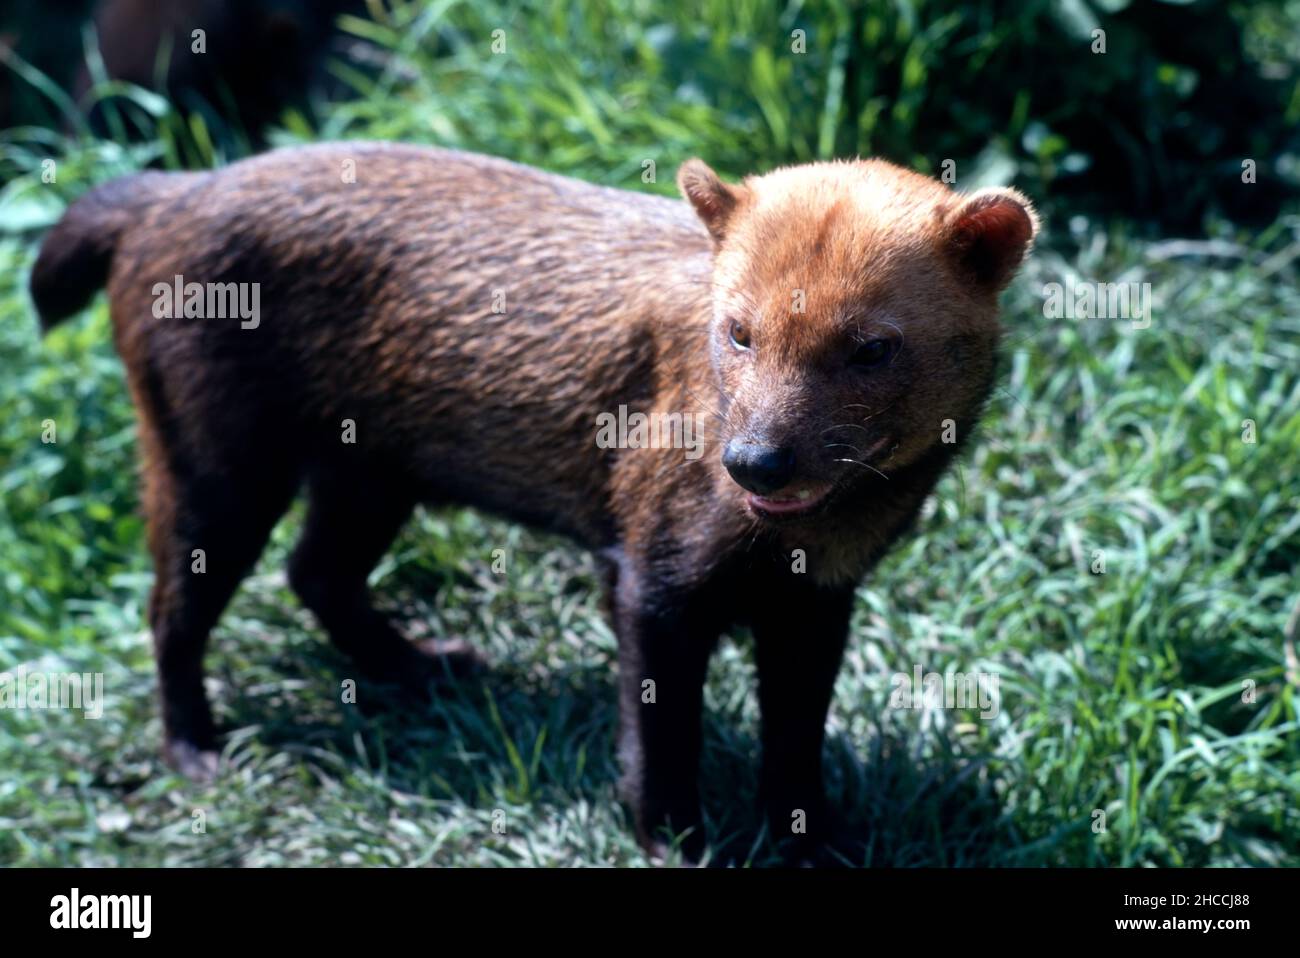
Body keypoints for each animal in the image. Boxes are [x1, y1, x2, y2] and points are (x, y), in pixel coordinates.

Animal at [30, 143, 1040, 868]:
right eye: (739, 329)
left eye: (872, 346)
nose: (755, 463)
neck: (805, 534)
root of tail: (168, 193)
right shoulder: (651, 578)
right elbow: (659, 735)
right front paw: (675, 842)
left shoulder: (817, 600)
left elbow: (796, 737)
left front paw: (813, 843)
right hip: (217, 470)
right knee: (173, 607)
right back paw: (198, 752)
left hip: (368, 472)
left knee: (316, 573)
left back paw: (428, 667)